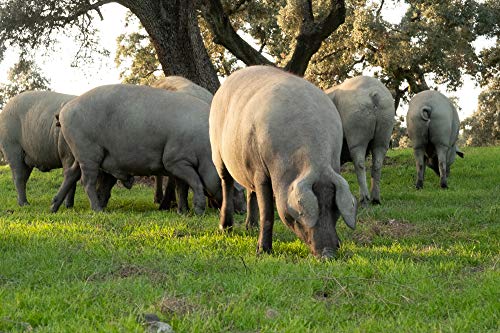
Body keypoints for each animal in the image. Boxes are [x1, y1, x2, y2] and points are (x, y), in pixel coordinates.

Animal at [209, 65, 358, 256]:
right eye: (303, 211)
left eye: (334, 208)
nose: (328, 254)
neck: (315, 162)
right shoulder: (261, 172)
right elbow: (267, 213)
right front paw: (262, 252)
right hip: (218, 153)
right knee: (226, 183)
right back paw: (225, 229)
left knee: (250, 191)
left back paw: (250, 227)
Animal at [326, 76, 396, 205]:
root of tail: (373, 93)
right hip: (384, 130)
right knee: (377, 163)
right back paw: (375, 199)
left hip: (356, 134)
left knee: (359, 163)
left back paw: (364, 199)